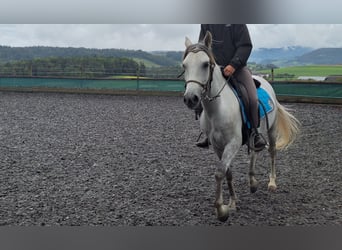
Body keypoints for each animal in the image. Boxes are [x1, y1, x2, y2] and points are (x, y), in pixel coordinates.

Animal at [182, 32, 300, 222]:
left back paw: (272, 183)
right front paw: (232, 203)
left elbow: (219, 173)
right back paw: (252, 182)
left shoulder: (233, 143)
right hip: (255, 133)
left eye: (205, 64)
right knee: (254, 152)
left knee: (272, 152)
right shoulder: (217, 146)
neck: (217, 108)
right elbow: (227, 172)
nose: (190, 98)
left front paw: (221, 211)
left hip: (271, 130)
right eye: (184, 65)